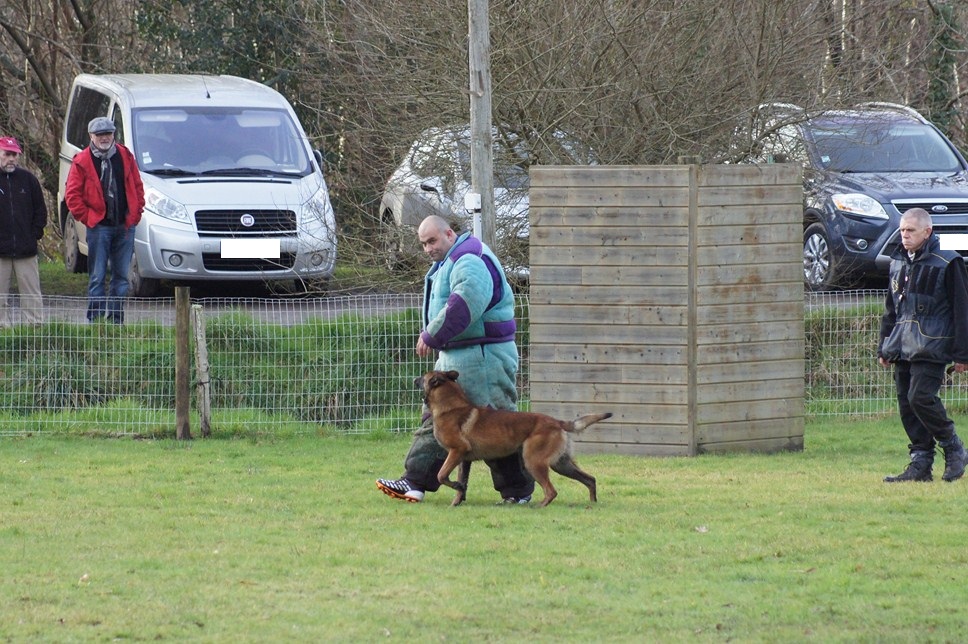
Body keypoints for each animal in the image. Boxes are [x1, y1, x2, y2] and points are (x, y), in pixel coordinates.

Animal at [416, 370, 612, 506]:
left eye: (423, 377)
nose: (414, 379)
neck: (449, 406)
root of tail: (557, 422)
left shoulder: (457, 451)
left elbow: (441, 475)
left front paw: (456, 487)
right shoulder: (463, 459)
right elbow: (459, 480)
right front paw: (457, 497)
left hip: (533, 462)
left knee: (551, 491)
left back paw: (539, 506)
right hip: (561, 465)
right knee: (590, 479)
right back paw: (592, 504)